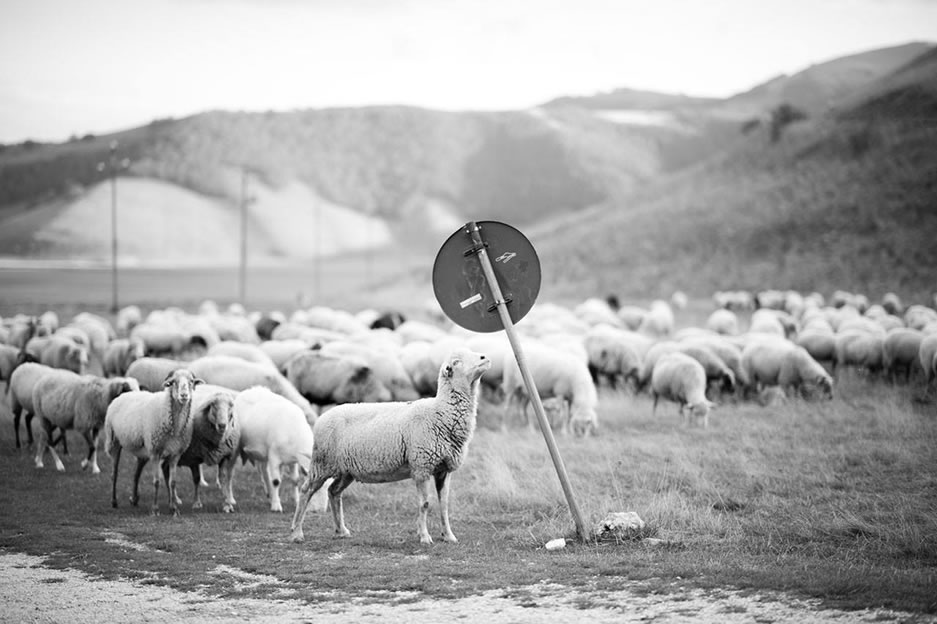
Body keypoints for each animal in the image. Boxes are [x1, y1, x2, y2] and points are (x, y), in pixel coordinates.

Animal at [104, 368, 203, 516]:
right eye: (173, 382)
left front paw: (174, 508)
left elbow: (172, 482)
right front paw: (155, 509)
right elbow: (156, 481)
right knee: (113, 474)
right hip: (115, 442)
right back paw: (114, 501)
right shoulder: (156, 453)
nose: (184, 395)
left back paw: (134, 499)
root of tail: (124, 394)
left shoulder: (175, 454)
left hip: (143, 451)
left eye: (191, 381)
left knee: (136, 474)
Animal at [231, 388, 330, 516]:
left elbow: (295, 480)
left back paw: (269, 494)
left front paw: (296, 501)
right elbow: (276, 482)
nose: (320, 510)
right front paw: (276, 506)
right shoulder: (274, 458)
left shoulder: (293, 460)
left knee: (264, 471)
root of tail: (248, 391)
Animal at [288, 348, 490, 544]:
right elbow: (424, 504)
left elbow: (444, 505)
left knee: (333, 491)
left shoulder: (443, 469)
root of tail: (322, 417)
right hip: (322, 463)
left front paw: (448, 536)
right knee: (306, 490)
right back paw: (296, 532)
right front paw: (425, 537)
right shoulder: (422, 466)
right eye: (456, 362)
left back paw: (341, 531)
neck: (440, 412)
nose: (484, 357)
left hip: (346, 470)